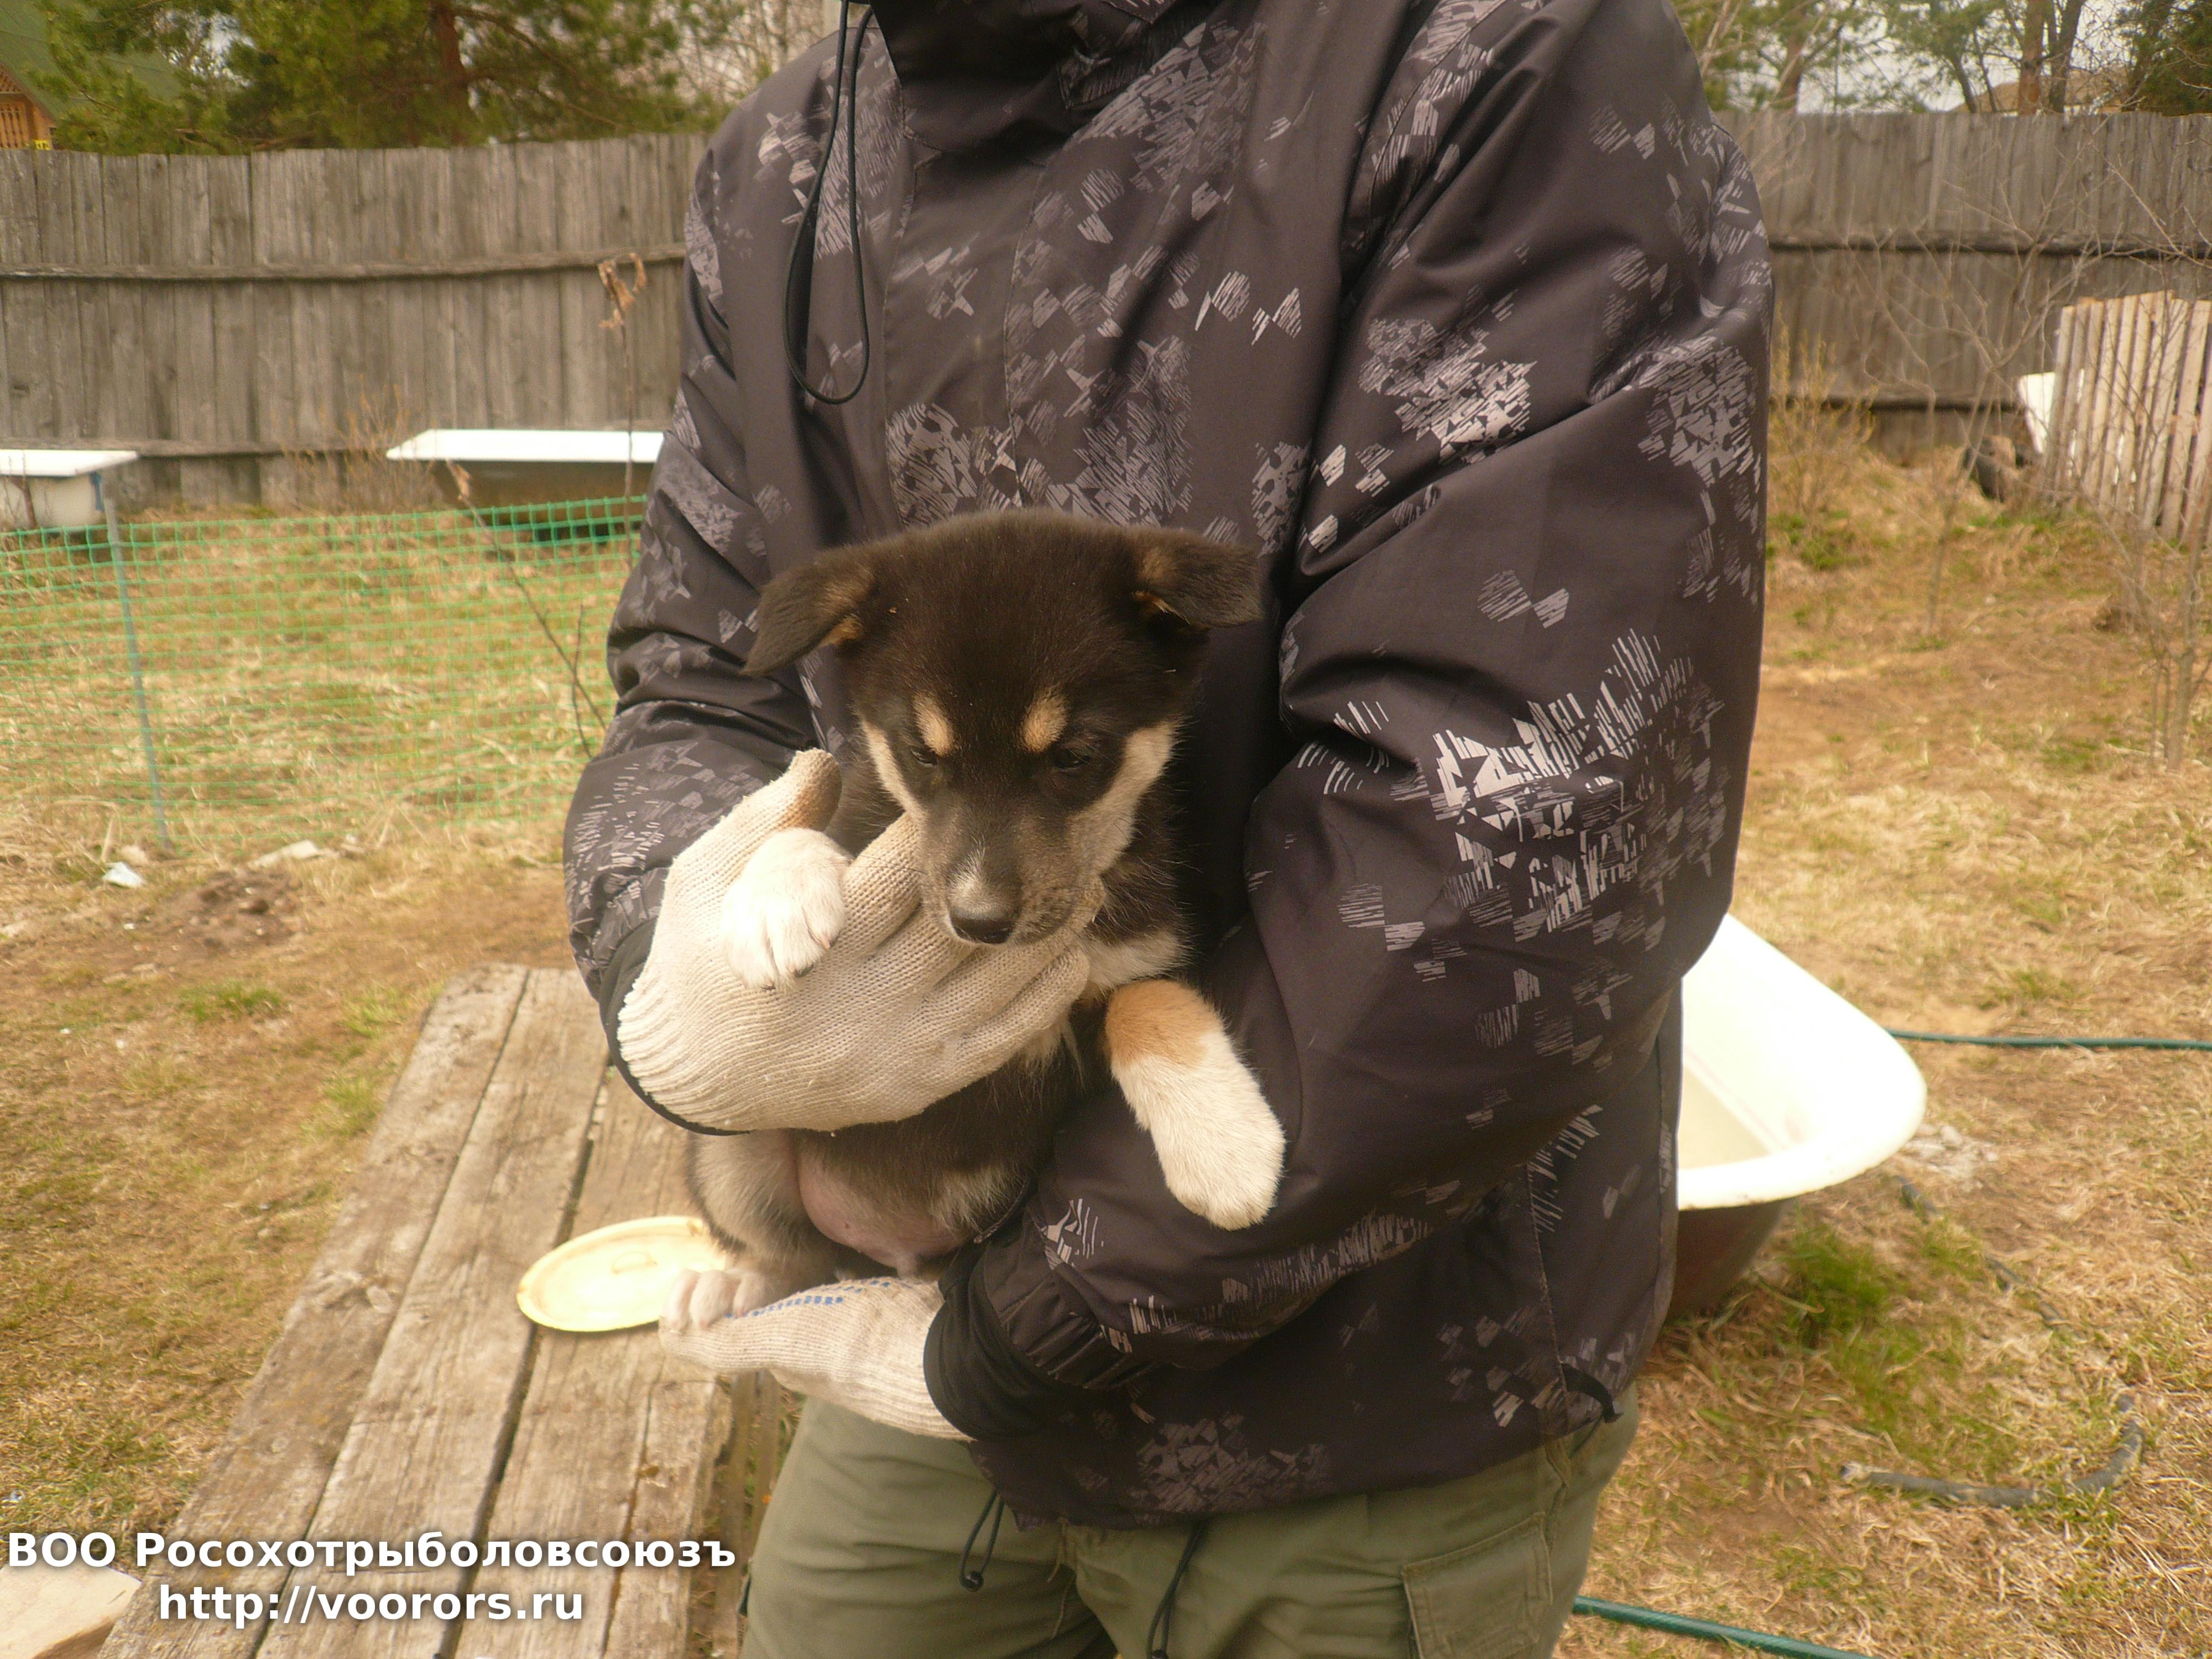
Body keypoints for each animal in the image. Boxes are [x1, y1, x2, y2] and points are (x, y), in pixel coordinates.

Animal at [664, 511, 1287, 1331]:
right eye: (921, 753)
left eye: (1075, 756)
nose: (978, 921)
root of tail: (893, 1251)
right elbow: (812, 829)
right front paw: (774, 906)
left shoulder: (1138, 960)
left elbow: (1149, 1002)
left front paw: (1225, 1148)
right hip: (734, 1147)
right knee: (791, 1255)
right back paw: (731, 1286)